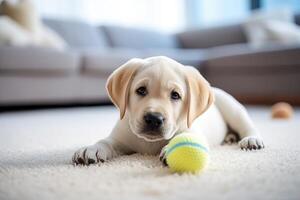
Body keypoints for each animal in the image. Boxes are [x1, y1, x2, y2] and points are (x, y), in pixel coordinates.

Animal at [71, 56, 264, 166]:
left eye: (175, 95)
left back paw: (251, 140)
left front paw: (169, 147)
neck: (149, 143)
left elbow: (185, 136)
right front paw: (92, 148)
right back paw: (230, 138)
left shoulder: (194, 131)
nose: (154, 118)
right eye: (141, 90)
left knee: (247, 126)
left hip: (232, 108)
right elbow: (106, 141)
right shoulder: (120, 138)